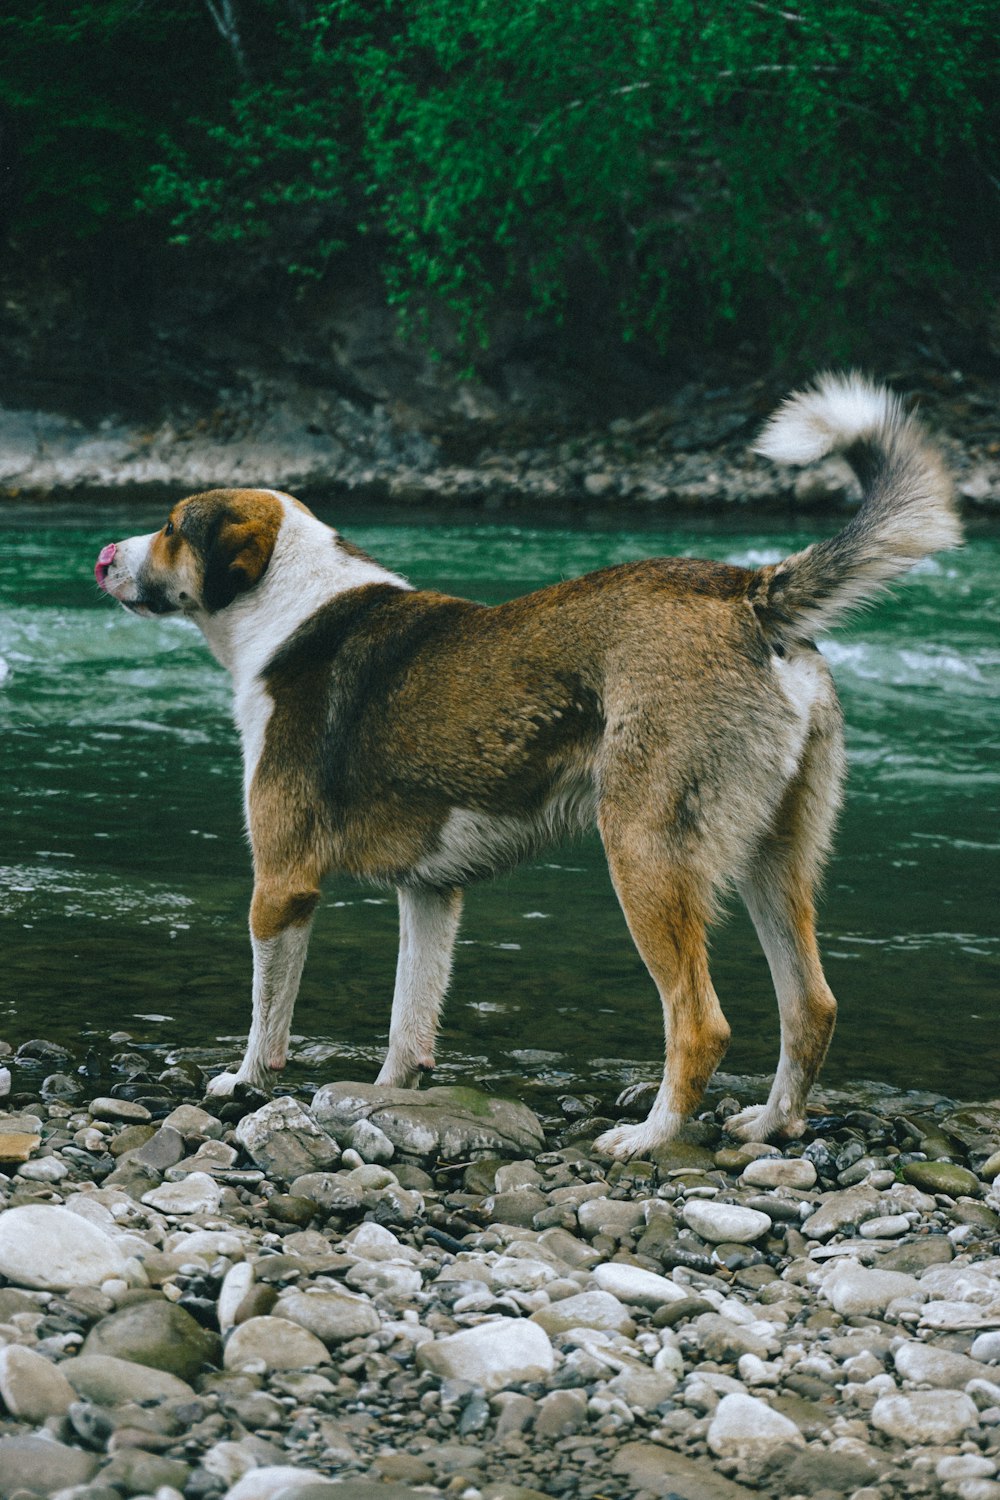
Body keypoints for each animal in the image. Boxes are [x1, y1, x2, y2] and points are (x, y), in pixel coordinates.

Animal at [95, 375, 959, 1158]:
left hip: (645, 853)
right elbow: (409, 1022)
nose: (103, 555)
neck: (288, 608)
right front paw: (387, 1098)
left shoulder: (282, 884)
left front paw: (244, 1084)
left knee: (701, 1022)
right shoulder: (430, 895)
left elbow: (266, 1016)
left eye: (170, 528)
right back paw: (772, 1124)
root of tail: (749, 591)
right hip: (772, 857)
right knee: (810, 1005)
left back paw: (647, 1138)